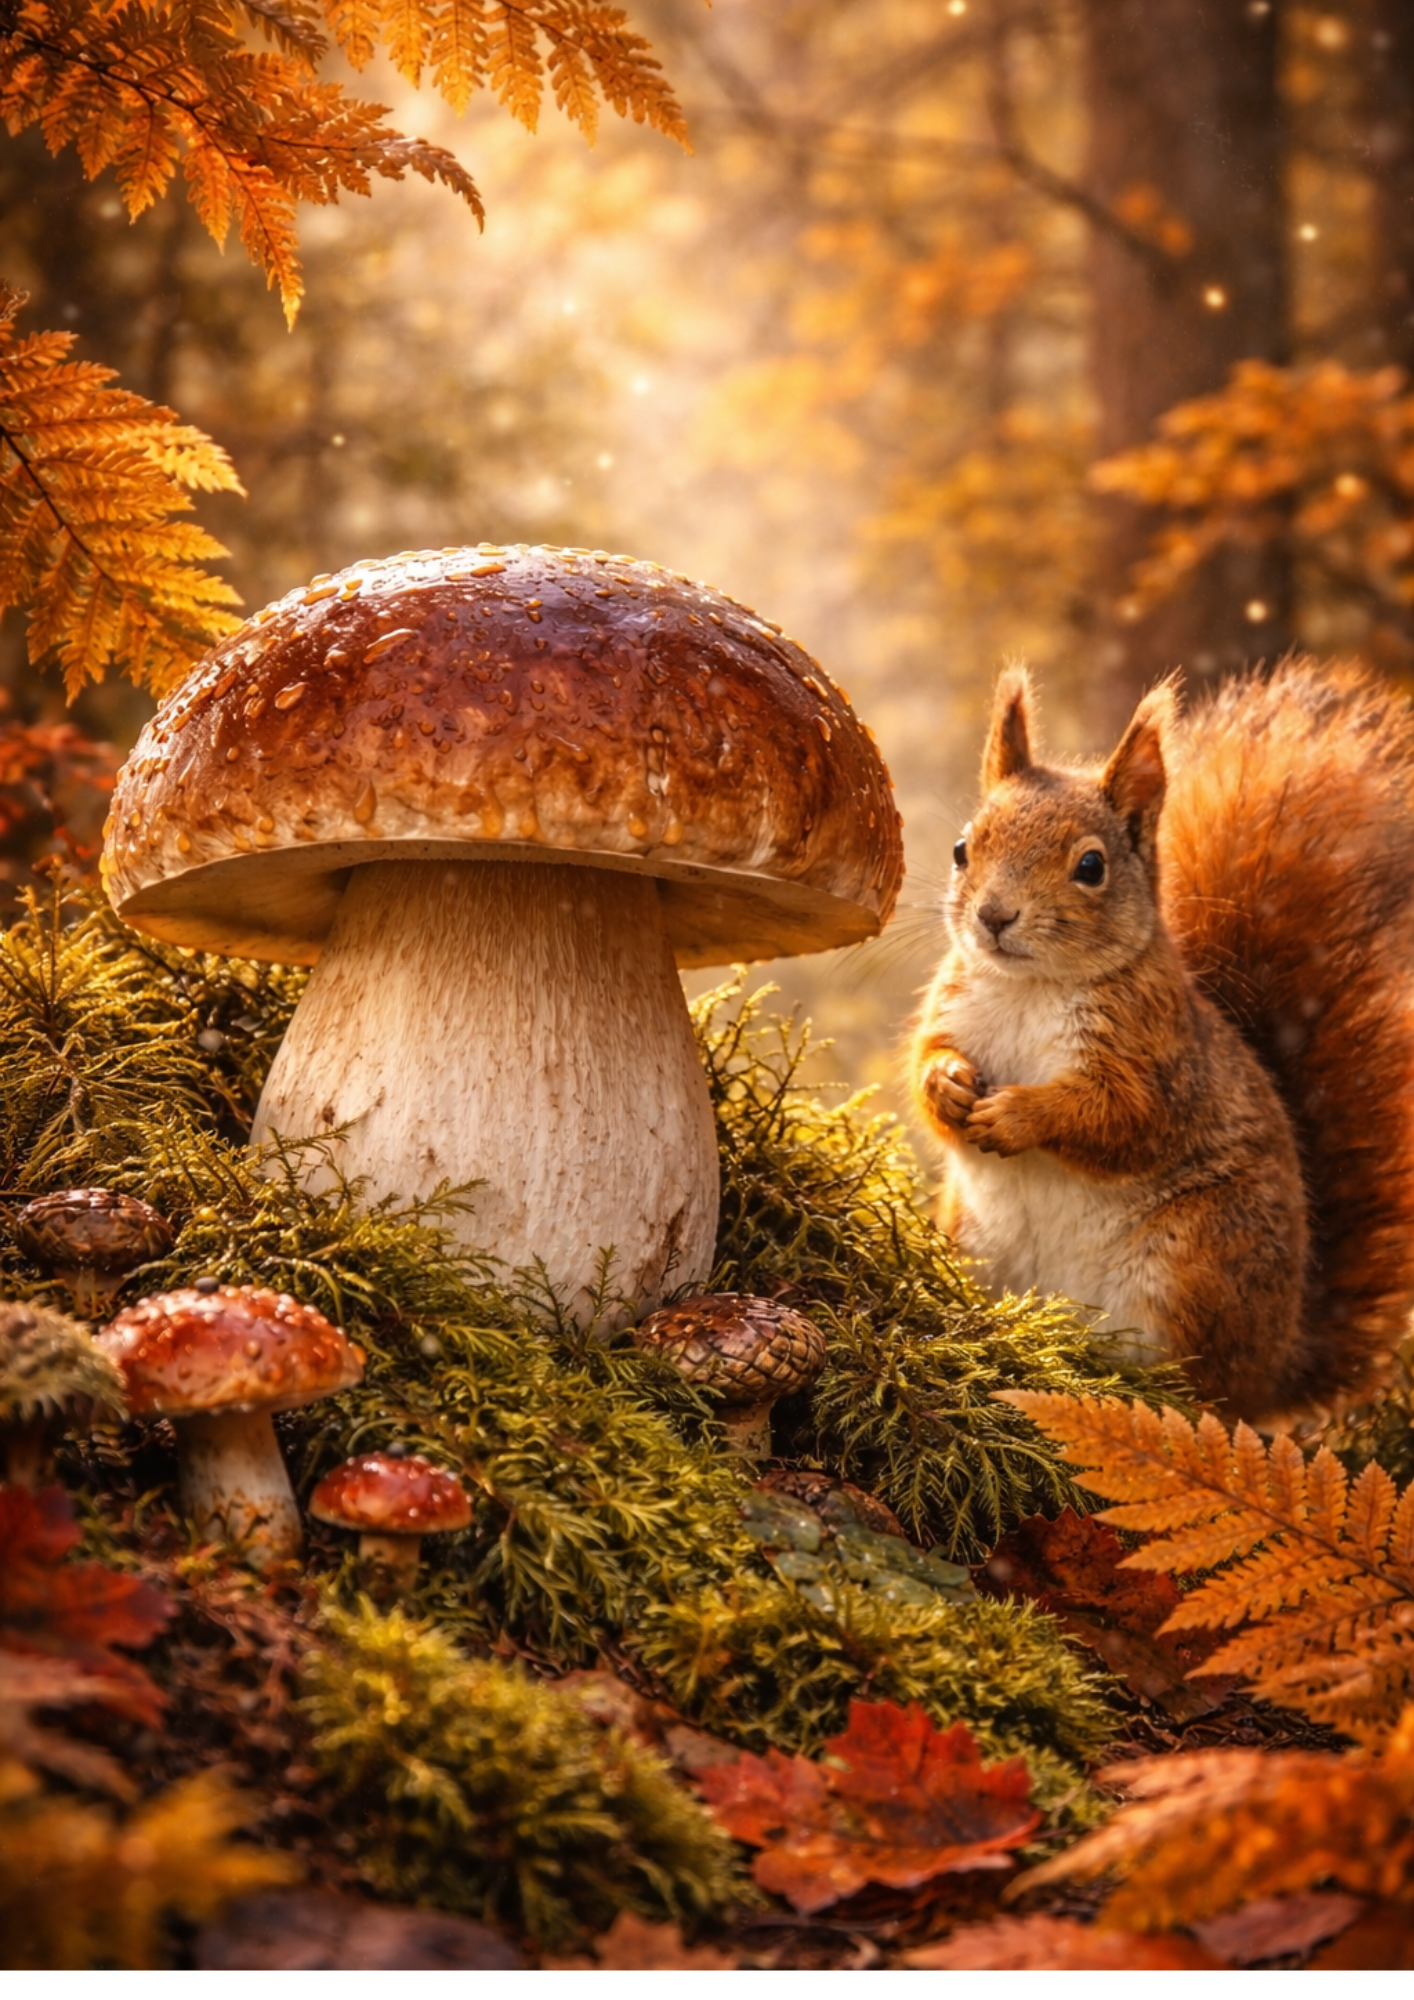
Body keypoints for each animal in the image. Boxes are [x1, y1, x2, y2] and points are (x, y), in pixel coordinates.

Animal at [909, 656, 1414, 1420]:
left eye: (1091, 866)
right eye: (963, 848)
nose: (995, 916)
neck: (1032, 987)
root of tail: (1276, 1365)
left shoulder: (1158, 1053)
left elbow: (1123, 1118)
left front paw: (1018, 1114)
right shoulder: (952, 1008)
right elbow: (923, 1072)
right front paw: (949, 1084)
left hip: (1197, 1259)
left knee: (1202, 1397)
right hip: (971, 1238)